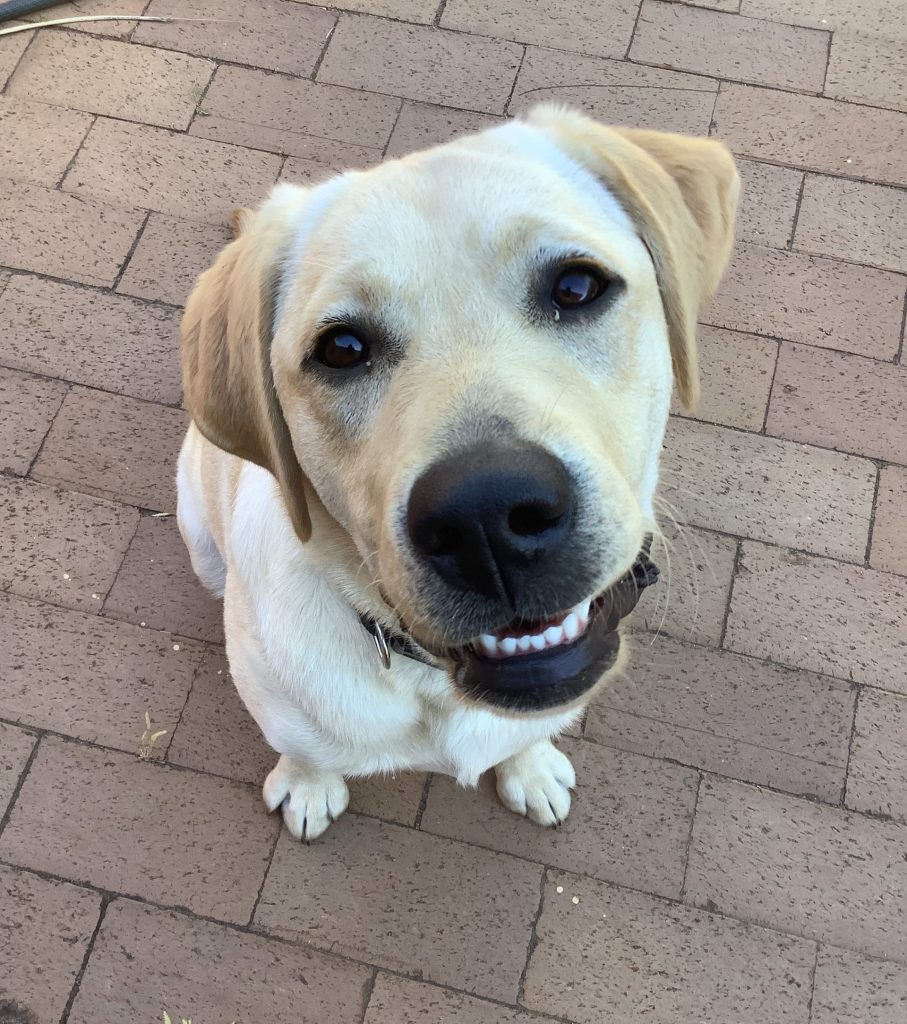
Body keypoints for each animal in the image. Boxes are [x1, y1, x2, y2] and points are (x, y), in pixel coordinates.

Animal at [177, 103, 737, 839]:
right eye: (341, 348)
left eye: (577, 286)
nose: (486, 518)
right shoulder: (280, 702)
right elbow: (303, 749)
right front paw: (306, 786)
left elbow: (527, 734)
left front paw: (530, 768)